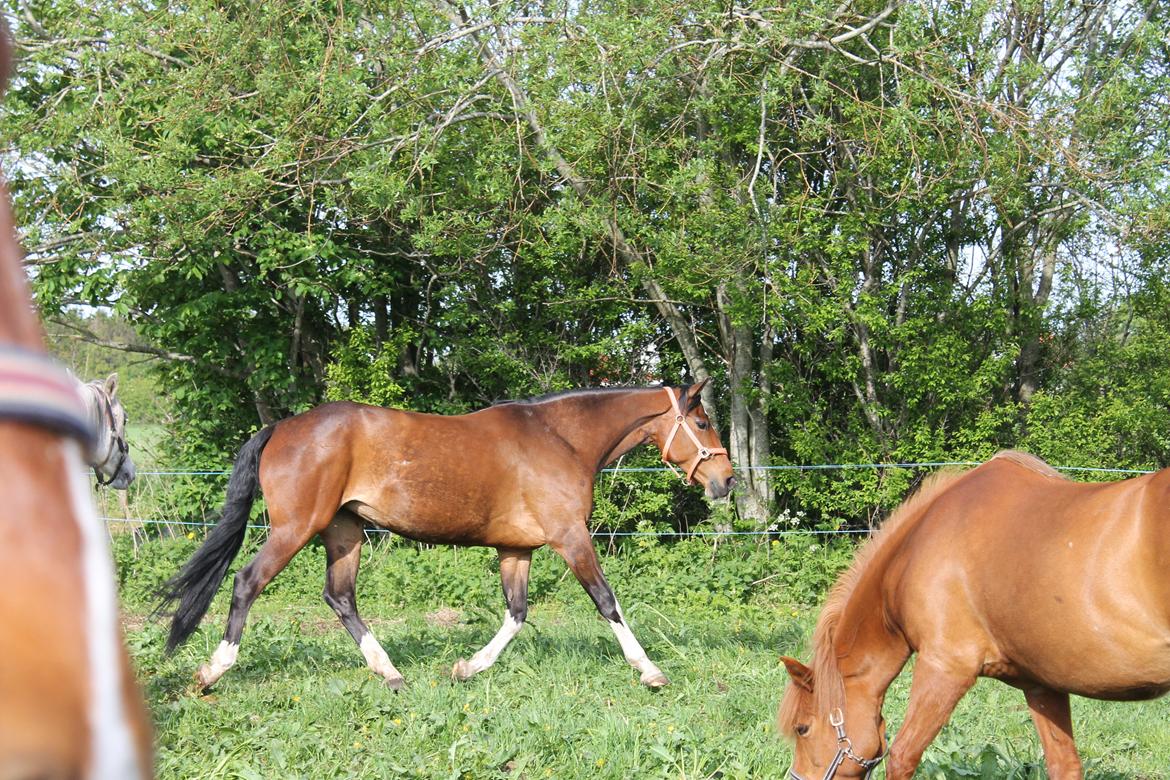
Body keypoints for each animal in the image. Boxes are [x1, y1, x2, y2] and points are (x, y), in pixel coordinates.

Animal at [157, 381, 730, 692]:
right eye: (702, 421)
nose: (725, 481)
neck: (560, 439)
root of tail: (281, 427)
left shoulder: (516, 548)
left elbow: (516, 613)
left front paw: (466, 668)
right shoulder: (571, 538)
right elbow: (607, 601)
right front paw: (651, 671)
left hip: (345, 531)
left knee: (340, 597)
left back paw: (390, 674)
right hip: (297, 528)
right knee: (246, 583)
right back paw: (213, 671)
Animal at [776, 451, 1170, 780]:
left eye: (802, 728)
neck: (917, 550)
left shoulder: (945, 669)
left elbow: (902, 756)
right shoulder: (1042, 685)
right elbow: (1065, 765)